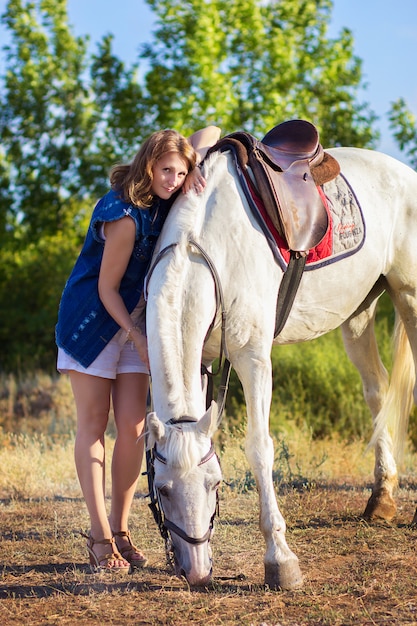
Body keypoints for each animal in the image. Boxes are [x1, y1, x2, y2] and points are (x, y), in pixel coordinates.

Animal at [145, 144, 416, 588]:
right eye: (163, 490)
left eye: (215, 482)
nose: (197, 571)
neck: (201, 249)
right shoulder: (204, 362)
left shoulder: (253, 358)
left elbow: (259, 448)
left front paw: (280, 558)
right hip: (359, 312)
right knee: (376, 390)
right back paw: (382, 497)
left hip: (409, 296)